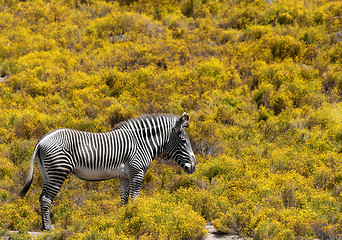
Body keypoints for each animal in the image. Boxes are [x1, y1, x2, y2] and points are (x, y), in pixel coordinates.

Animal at [18, 112, 196, 231]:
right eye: (183, 141)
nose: (193, 167)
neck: (142, 143)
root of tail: (43, 139)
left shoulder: (125, 177)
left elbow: (124, 201)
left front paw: (125, 220)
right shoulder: (137, 173)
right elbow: (135, 199)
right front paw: (136, 217)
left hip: (47, 173)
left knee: (42, 197)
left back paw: (43, 226)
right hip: (58, 172)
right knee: (46, 199)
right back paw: (48, 228)